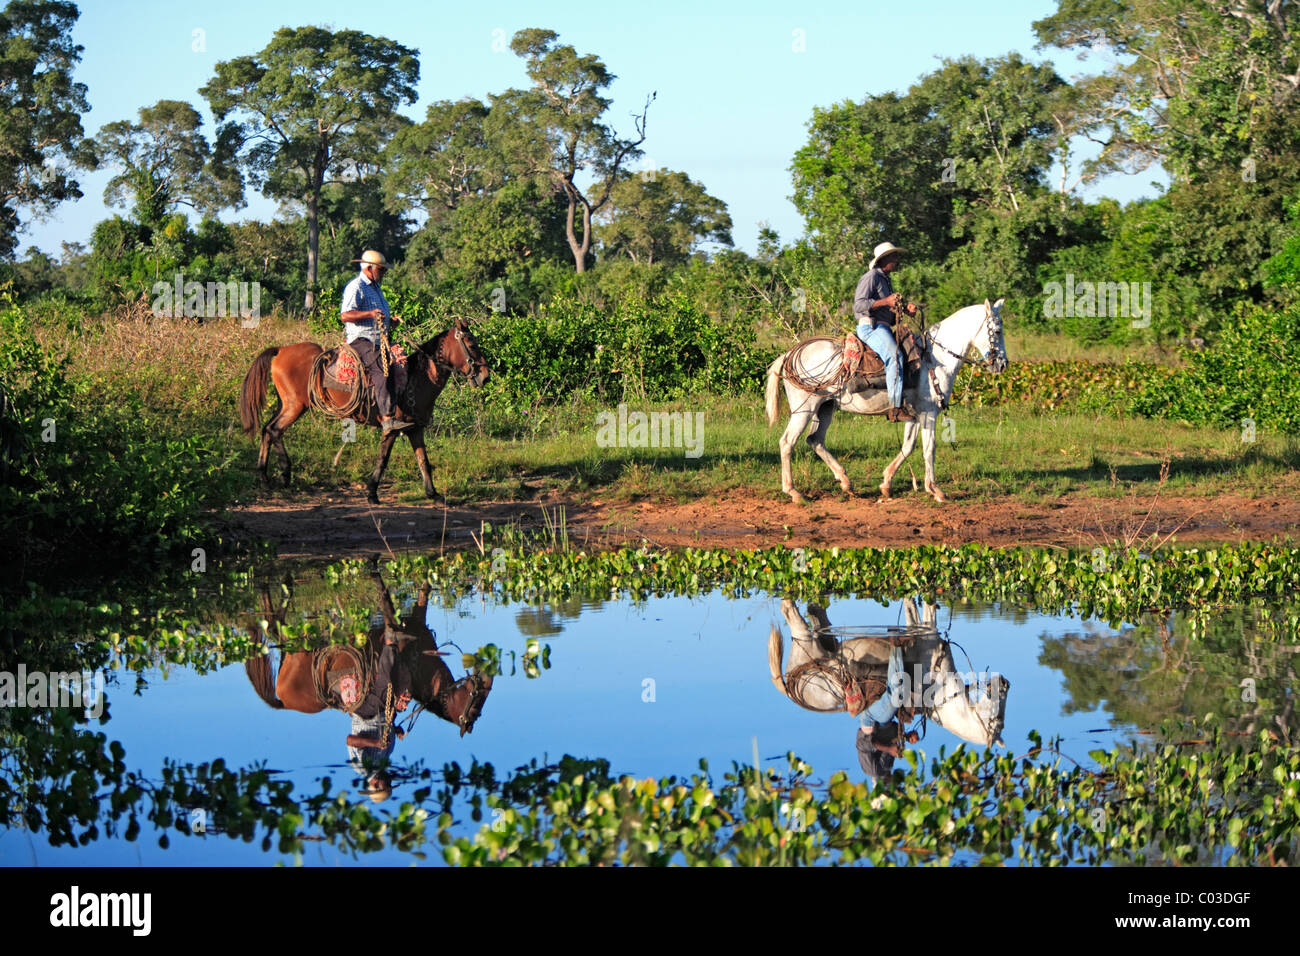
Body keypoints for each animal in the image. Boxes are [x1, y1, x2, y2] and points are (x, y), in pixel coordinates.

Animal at [237, 317, 488, 504]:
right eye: (472, 345)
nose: (485, 377)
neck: (416, 377)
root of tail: (280, 350)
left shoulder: (415, 429)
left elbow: (423, 461)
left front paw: (433, 494)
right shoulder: (392, 428)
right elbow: (383, 459)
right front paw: (372, 492)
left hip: (286, 405)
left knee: (267, 429)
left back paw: (264, 477)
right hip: (295, 406)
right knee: (275, 430)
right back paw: (285, 473)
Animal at [764, 299, 1008, 504]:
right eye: (997, 330)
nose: (1002, 364)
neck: (934, 359)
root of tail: (788, 355)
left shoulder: (914, 415)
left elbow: (908, 447)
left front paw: (886, 483)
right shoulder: (929, 413)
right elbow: (929, 449)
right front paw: (935, 490)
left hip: (825, 408)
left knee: (815, 440)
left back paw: (846, 483)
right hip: (804, 410)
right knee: (787, 443)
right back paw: (794, 492)